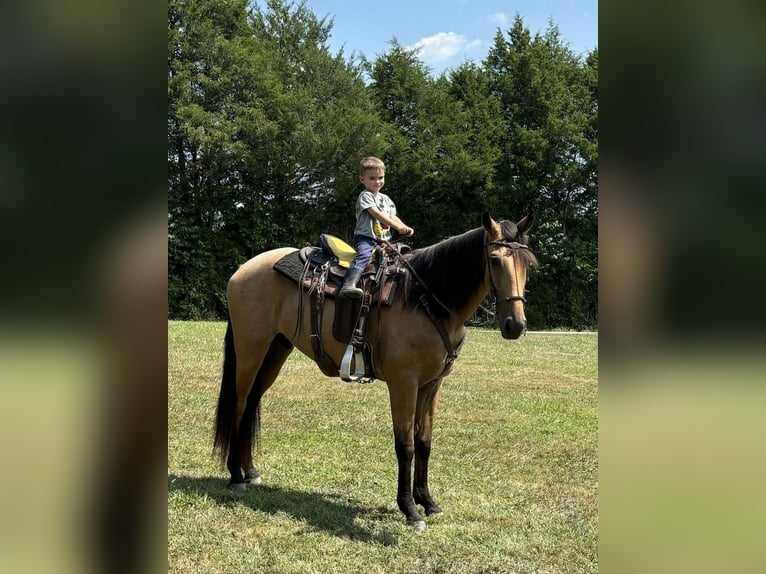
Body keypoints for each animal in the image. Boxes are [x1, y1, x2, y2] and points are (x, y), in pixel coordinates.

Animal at [212, 213, 540, 536]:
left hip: (276, 349)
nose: (515, 325)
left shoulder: (432, 385)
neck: (423, 298)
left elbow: (424, 442)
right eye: (494, 260)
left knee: (252, 402)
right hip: (251, 349)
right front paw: (410, 510)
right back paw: (236, 475)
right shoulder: (403, 383)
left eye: (528, 263)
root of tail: (243, 270)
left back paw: (251, 471)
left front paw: (428, 502)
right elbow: (405, 446)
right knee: (239, 405)